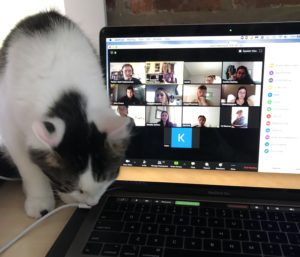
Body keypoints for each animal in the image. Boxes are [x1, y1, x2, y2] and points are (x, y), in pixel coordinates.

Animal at [0, 11, 130, 217]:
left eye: (107, 177)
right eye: (71, 184)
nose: (92, 203)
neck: (68, 99)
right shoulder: (10, 127)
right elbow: (29, 168)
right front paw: (40, 200)